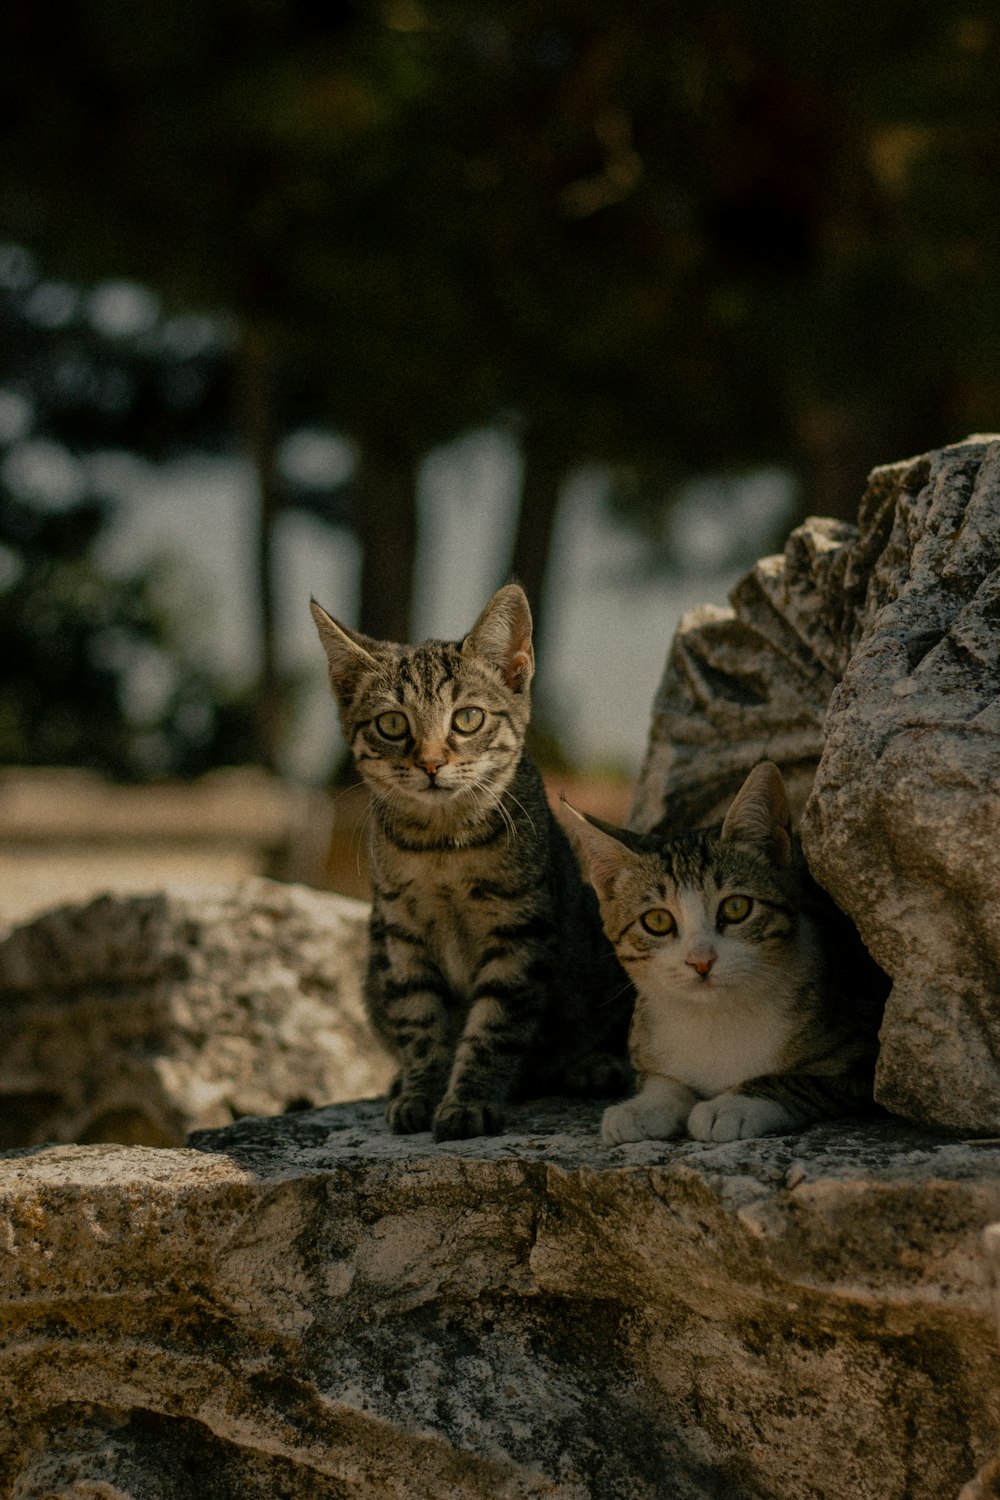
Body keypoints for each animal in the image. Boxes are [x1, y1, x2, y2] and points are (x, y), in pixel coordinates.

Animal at [308, 582, 629, 1134]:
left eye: (468, 718)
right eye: (392, 724)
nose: (431, 763)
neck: (443, 847)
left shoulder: (519, 934)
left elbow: (493, 1029)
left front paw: (468, 1102)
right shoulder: (402, 937)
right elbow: (420, 1024)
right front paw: (421, 1091)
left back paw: (591, 1066)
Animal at [560, 768, 887, 1140]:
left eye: (735, 908)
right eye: (657, 921)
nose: (701, 960)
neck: (715, 1017)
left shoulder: (861, 1060)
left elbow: (801, 1082)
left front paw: (731, 1105)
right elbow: (662, 1079)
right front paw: (643, 1107)